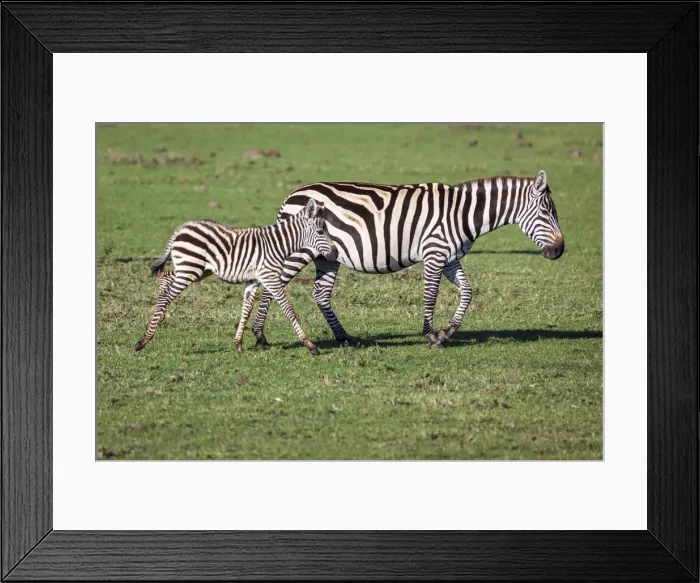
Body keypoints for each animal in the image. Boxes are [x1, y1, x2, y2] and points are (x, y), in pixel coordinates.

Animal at [135, 198, 338, 355]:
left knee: (165, 279)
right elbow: (288, 308)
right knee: (167, 294)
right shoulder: (270, 277)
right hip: (190, 269)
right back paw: (144, 340)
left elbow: (246, 310)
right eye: (321, 232)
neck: (277, 245)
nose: (335, 253)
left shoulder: (253, 280)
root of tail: (181, 229)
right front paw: (310, 345)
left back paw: (158, 318)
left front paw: (238, 344)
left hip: (197, 270)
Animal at [250, 170, 564, 349]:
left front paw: (447, 332)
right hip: (299, 251)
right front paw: (431, 335)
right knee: (273, 285)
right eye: (546, 212)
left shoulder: (450, 257)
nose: (559, 251)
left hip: (327, 255)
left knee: (320, 293)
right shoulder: (435, 253)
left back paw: (345, 338)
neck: (462, 213)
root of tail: (293, 194)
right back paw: (260, 335)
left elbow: (467, 292)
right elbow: (430, 296)